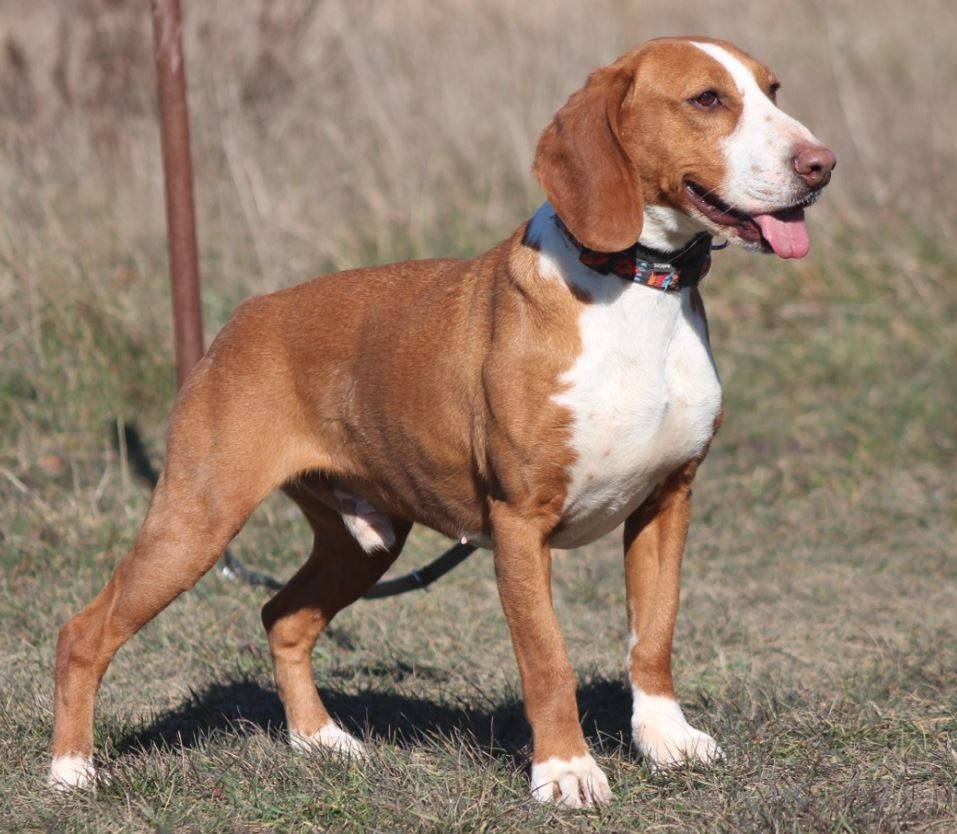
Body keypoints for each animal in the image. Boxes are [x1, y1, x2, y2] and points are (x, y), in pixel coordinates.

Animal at [50, 36, 834, 807]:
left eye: (773, 90)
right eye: (706, 99)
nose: (821, 164)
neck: (636, 290)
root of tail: (244, 318)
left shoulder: (666, 502)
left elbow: (655, 635)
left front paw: (666, 740)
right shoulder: (521, 524)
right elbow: (547, 659)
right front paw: (565, 770)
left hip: (365, 541)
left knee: (283, 617)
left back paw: (319, 740)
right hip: (196, 522)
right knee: (82, 632)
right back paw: (71, 769)